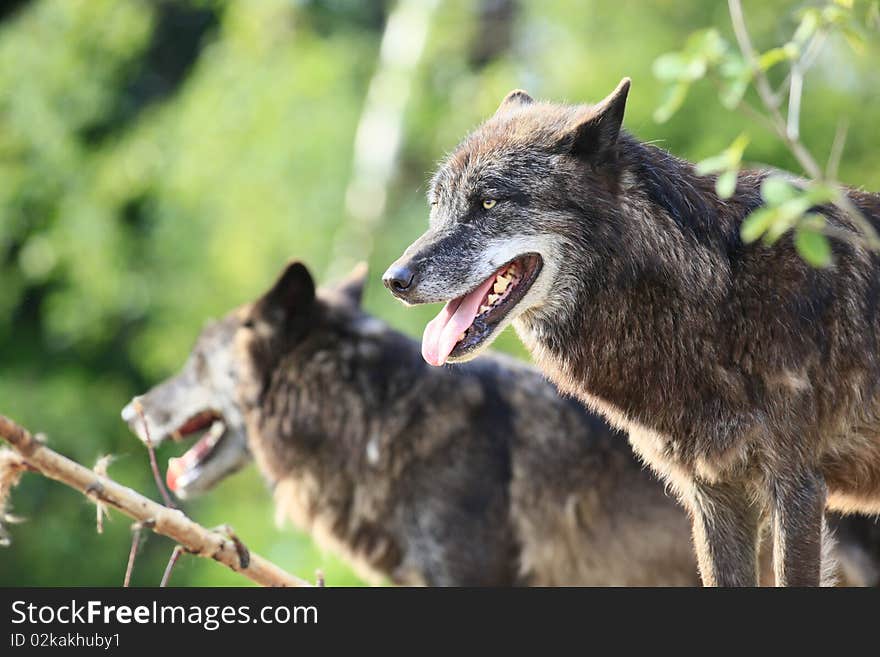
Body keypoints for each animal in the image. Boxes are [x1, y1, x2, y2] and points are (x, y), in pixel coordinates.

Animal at [388, 79, 880, 588]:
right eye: (436, 205)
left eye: (488, 201)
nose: (394, 280)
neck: (722, 291)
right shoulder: (716, 496)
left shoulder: (796, 487)